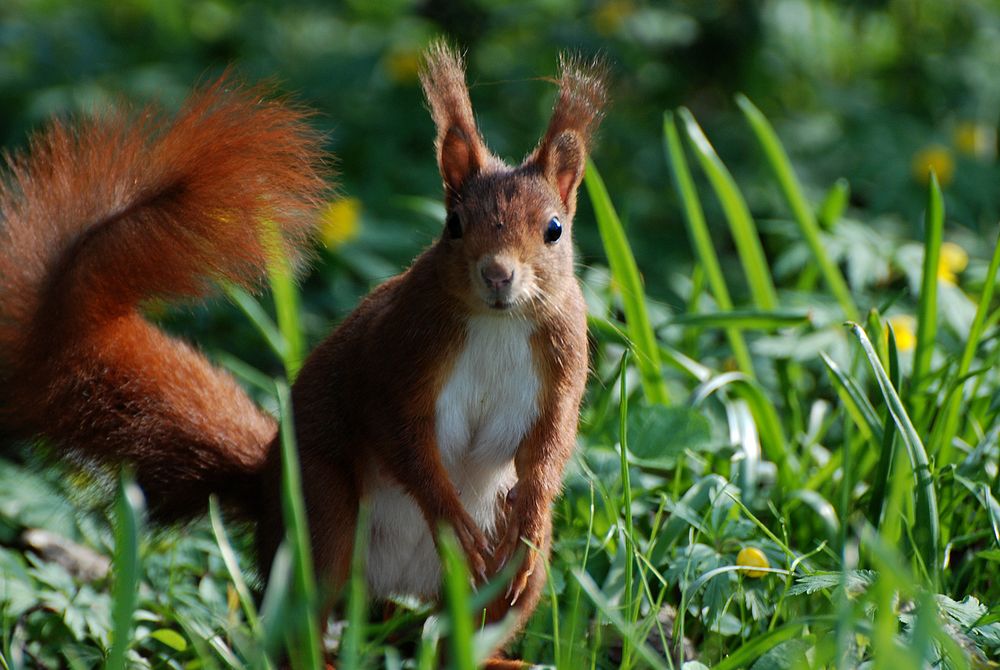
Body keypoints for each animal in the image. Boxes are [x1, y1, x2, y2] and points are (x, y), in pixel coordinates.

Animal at [0, 44, 604, 668]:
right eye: (454, 224)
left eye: (554, 229)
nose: (498, 274)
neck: (497, 322)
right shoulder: (396, 356)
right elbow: (401, 436)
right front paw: (448, 515)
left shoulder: (564, 361)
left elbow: (551, 443)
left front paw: (531, 518)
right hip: (318, 512)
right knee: (304, 609)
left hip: (496, 583)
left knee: (468, 625)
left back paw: (494, 651)